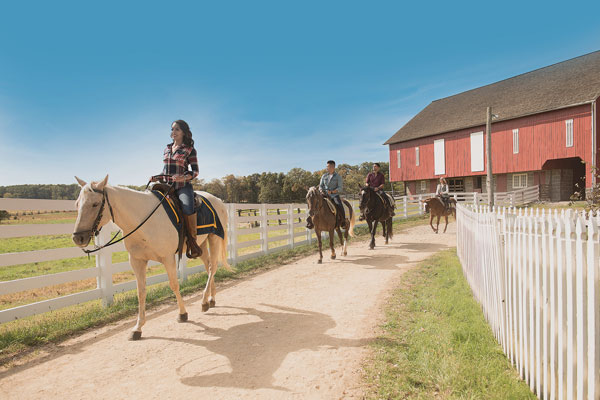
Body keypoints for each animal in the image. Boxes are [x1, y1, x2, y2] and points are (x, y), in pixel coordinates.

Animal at [69, 176, 230, 340]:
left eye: (95, 204)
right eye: (77, 204)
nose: (78, 238)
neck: (143, 222)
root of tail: (218, 200)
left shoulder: (168, 258)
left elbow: (174, 285)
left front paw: (182, 314)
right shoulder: (137, 261)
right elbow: (141, 292)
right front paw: (137, 328)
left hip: (214, 237)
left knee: (213, 267)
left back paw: (204, 301)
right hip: (201, 244)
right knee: (208, 266)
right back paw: (211, 299)